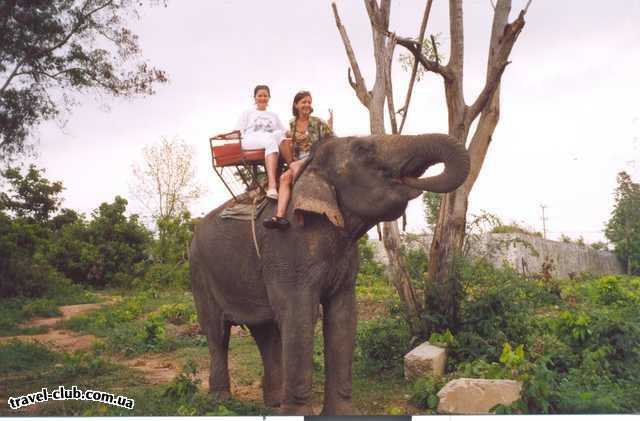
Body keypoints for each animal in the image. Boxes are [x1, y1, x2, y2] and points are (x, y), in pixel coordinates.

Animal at [190, 134, 470, 414]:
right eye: (364, 149)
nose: (414, 182)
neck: (310, 169)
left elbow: (343, 317)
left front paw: (342, 414)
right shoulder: (288, 248)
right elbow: (300, 315)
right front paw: (297, 415)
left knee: (264, 330)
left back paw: (273, 404)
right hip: (199, 270)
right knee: (217, 331)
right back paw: (221, 402)